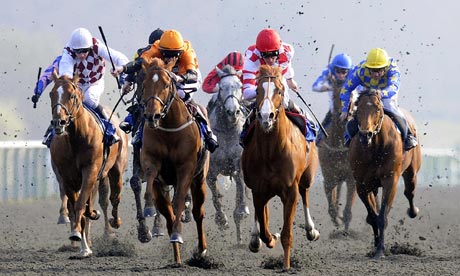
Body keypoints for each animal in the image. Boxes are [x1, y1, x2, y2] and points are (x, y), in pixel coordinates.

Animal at [48, 71, 128, 256]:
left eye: (71, 95)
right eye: (51, 94)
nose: (58, 123)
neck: (76, 139)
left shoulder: (90, 171)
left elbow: (81, 205)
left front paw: (81, 239)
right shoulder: (66, 177)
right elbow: (75, 205)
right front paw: (78, 237)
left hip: (115, 170)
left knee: (113, 197)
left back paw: (114, 224)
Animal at [137, 57, 208, 266]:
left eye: (167, 84)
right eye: (144, 84)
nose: (152, 116)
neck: (169, 128)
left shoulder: (186, 169)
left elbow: (179, 202)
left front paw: (178, 233)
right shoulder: (152, 164)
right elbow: (150, 184)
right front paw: (149, 208)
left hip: (199, 180)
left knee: (198, 212)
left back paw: (201, 249)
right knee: (168, 214)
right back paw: (177, 257)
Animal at [241, 66, 320, 270]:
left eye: (279, 90)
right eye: (257, 90)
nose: (265, 116)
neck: (271, 152)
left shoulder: (290, 190)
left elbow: (286, 235)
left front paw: (286, 266)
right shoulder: (258, 190)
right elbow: (264, 227)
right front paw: (268, 238)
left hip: (307, 177)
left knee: (305, 193)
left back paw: (311, 230)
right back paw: (255, 239)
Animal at [318, 83, 358, 232]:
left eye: (352, 96)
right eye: (336, 95)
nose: (346, 115)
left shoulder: (352, 178)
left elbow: (347, 212)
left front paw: (345, 229)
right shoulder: (329, 177)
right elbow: (332, 209)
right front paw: (337, 220)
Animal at [348, 90, 420, 258]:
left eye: (378, 109)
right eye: (358, 109)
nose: (365, 135)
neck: (375, 148)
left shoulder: (390, 180)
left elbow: (382, 216)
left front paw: (380, 250)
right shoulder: (361, 184)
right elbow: (373, 216)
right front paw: (376, 246)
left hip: (412, 172)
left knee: (410, 192)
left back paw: (413, 211)